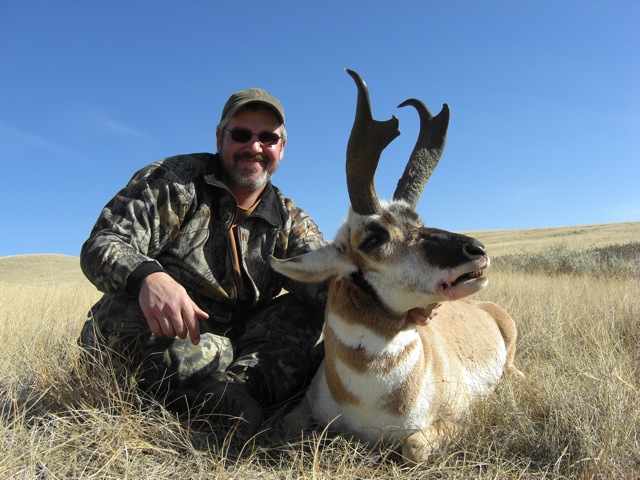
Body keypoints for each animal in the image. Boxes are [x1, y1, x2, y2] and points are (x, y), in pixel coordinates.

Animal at [270, 69, 520, 464]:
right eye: (373, 238)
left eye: (419, 221)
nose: (477, 250)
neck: (367, 398)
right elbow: (286, 425)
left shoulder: (454, 420)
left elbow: (413, 446)